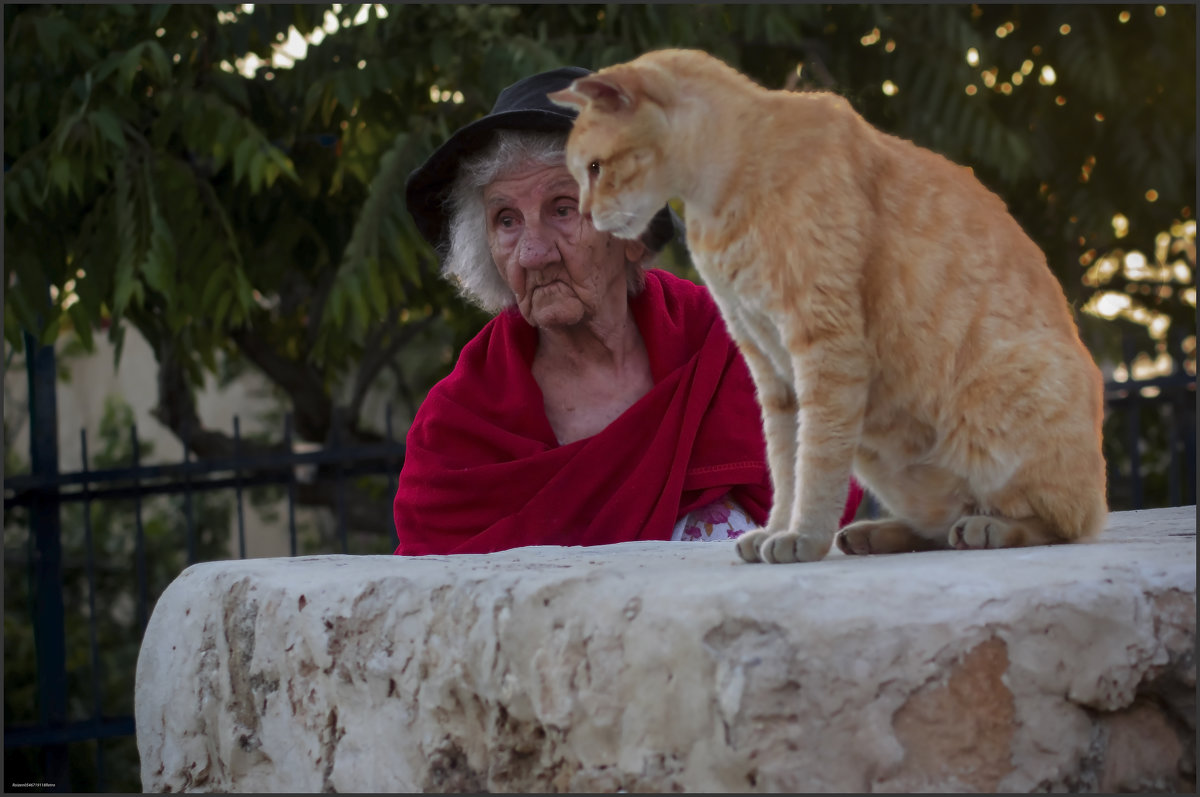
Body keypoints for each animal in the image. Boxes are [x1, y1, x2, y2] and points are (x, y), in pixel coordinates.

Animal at [549, 49, 1104, 564]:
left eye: (595, 169)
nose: (584, 215)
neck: (721, 199)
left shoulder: (824, 347)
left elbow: (815, 461)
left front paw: (803, 537)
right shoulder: (769, 366)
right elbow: (784, 463)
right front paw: (777, 529)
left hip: (997, 411)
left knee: (1066, 524)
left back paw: (988, 527)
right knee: (939, 525)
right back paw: (878, 533)